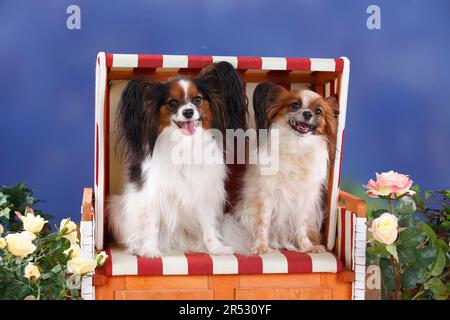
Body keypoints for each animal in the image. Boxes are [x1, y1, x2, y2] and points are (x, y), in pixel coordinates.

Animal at [109, 62, 250, 258]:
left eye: (197, 99)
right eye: (173, 103)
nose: (189, 112)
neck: (184, 142)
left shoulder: (204, 193)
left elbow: (208, 226)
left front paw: (215, 248)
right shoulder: (153, 194)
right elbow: (152, 224)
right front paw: (150, 250)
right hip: (115, 208)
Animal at [221, 82, 338, 255]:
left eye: (318, 111)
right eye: (295, 105)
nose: (307, 114)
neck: (297, 146)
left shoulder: (305, 199)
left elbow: (301, 225)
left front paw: (306, 247)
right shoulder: (267, 195)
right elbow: (263, 223)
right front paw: (261, 247)